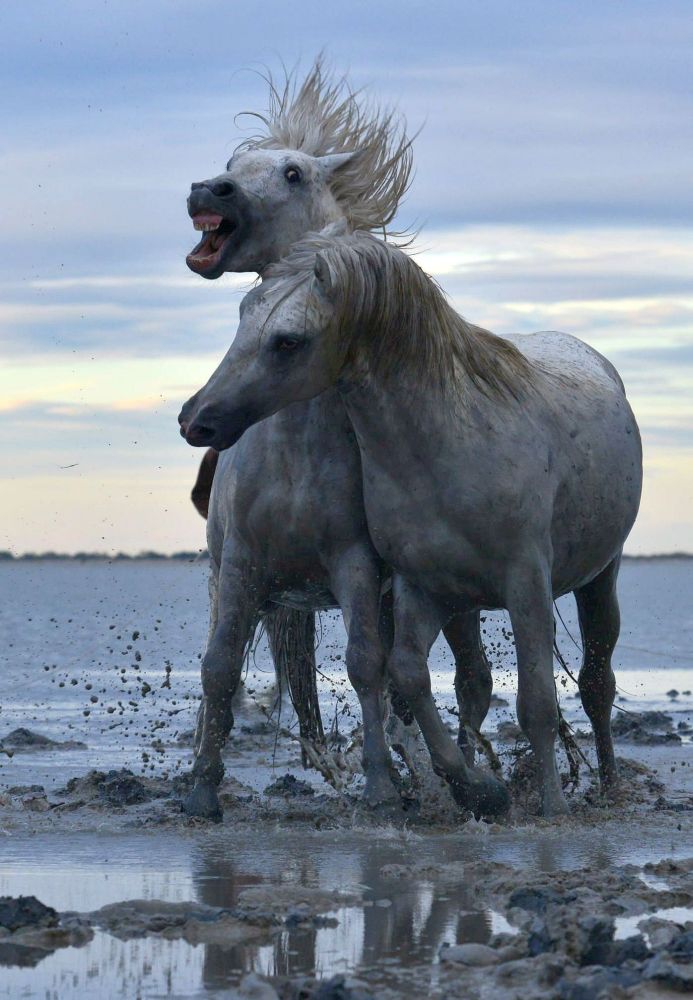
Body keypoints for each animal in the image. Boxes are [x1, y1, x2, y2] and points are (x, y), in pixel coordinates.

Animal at [180, 230, 644, 816]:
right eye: (242, 316)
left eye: (288, 342)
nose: (196, 418)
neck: (445, 443)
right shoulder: (416, 586)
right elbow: (403, 676)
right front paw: (474, 787)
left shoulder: (525, 584)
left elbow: (536, 700)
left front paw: (551, 807)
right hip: (461, 605)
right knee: (473, 684)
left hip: (599, 577)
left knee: (595, 683)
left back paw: (607, 785)